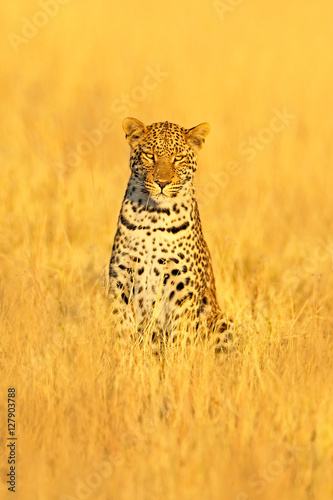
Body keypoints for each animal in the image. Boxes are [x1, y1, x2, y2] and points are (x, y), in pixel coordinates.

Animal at [107, 118, 232, 348]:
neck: (154, 216)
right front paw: (121, 353)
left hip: (222, 320)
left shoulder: (182, 285)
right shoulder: (120, 278)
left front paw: (178, 356)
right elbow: (120, 325)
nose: (162, 182)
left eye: (178, 158)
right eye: (149, 155)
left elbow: (181, 333)